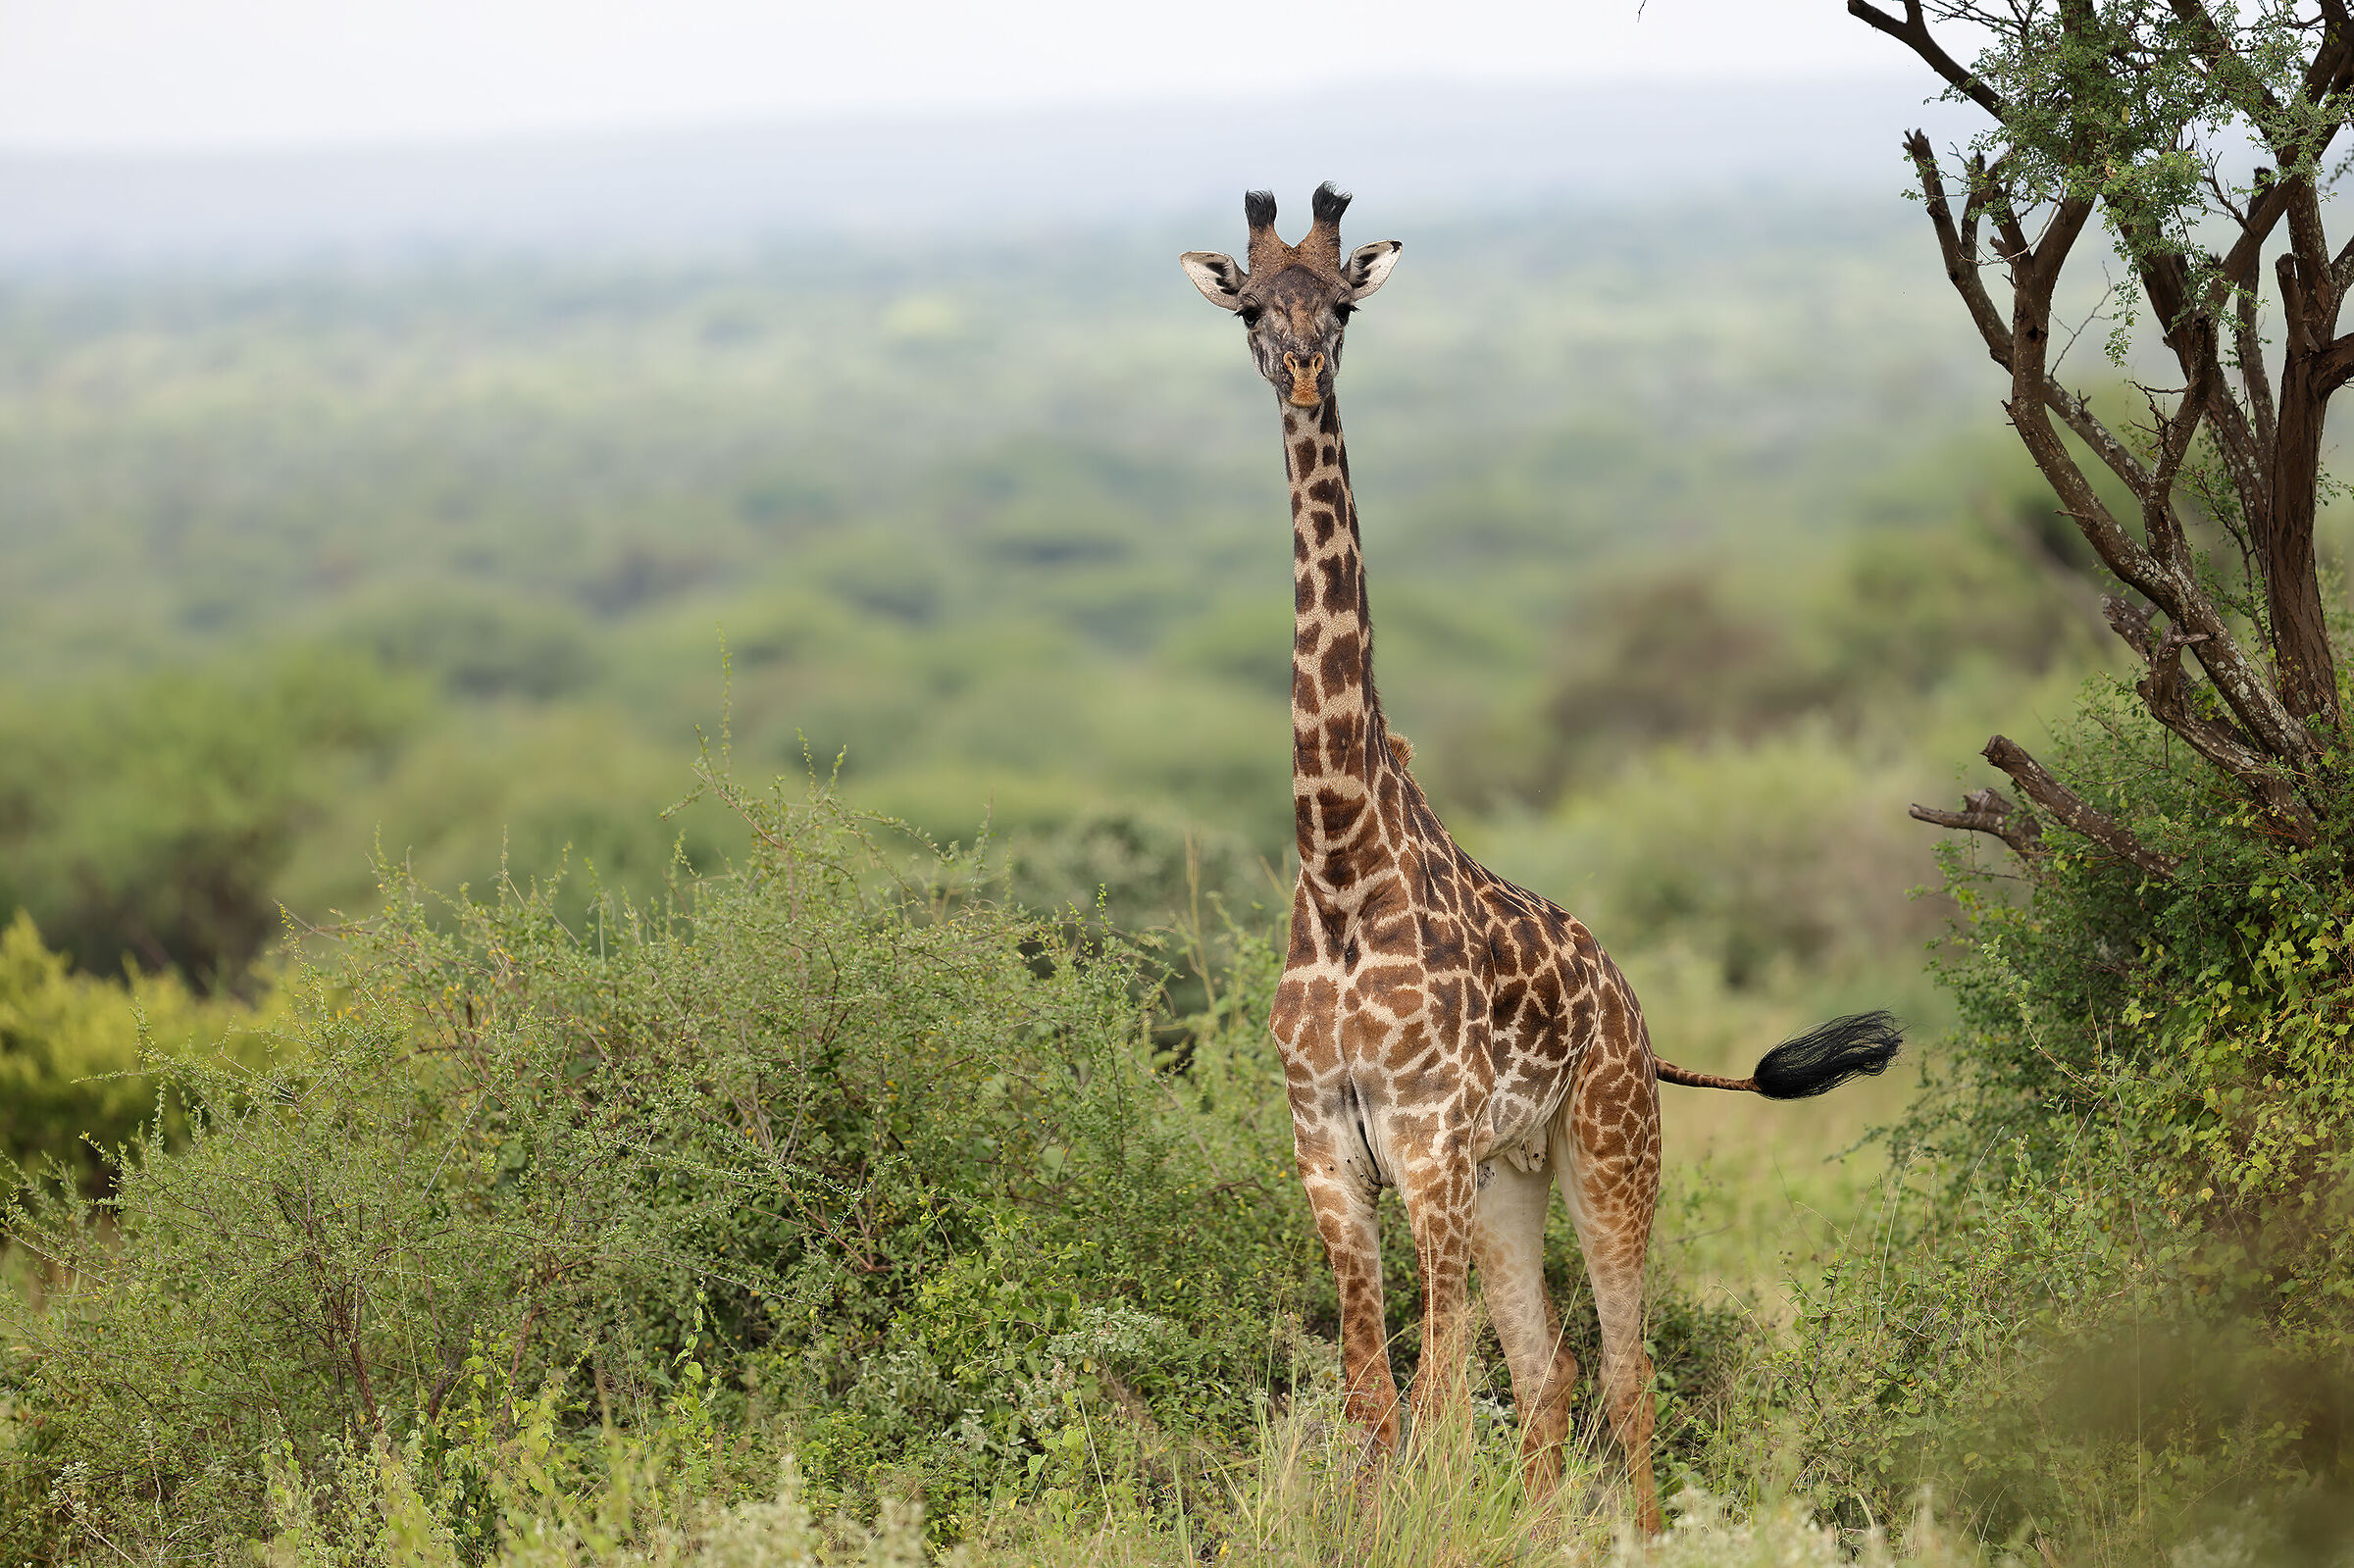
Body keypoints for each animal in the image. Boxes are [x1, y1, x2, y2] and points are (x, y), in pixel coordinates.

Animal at [1179, 184, 1903, 1534]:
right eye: (1253, 308)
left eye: (1341, 304)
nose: (1300, 373)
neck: (1340, 869)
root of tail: (1631, 1006)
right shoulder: (1328, 1154)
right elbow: (1374, 1399)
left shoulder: (1424, 1145)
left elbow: (1435, 1400)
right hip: (1513, 1170)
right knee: (1549, 1367)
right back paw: (1548, 1523)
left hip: (1608, 1147)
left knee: (1623, 1368)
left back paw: (1643, 1534)